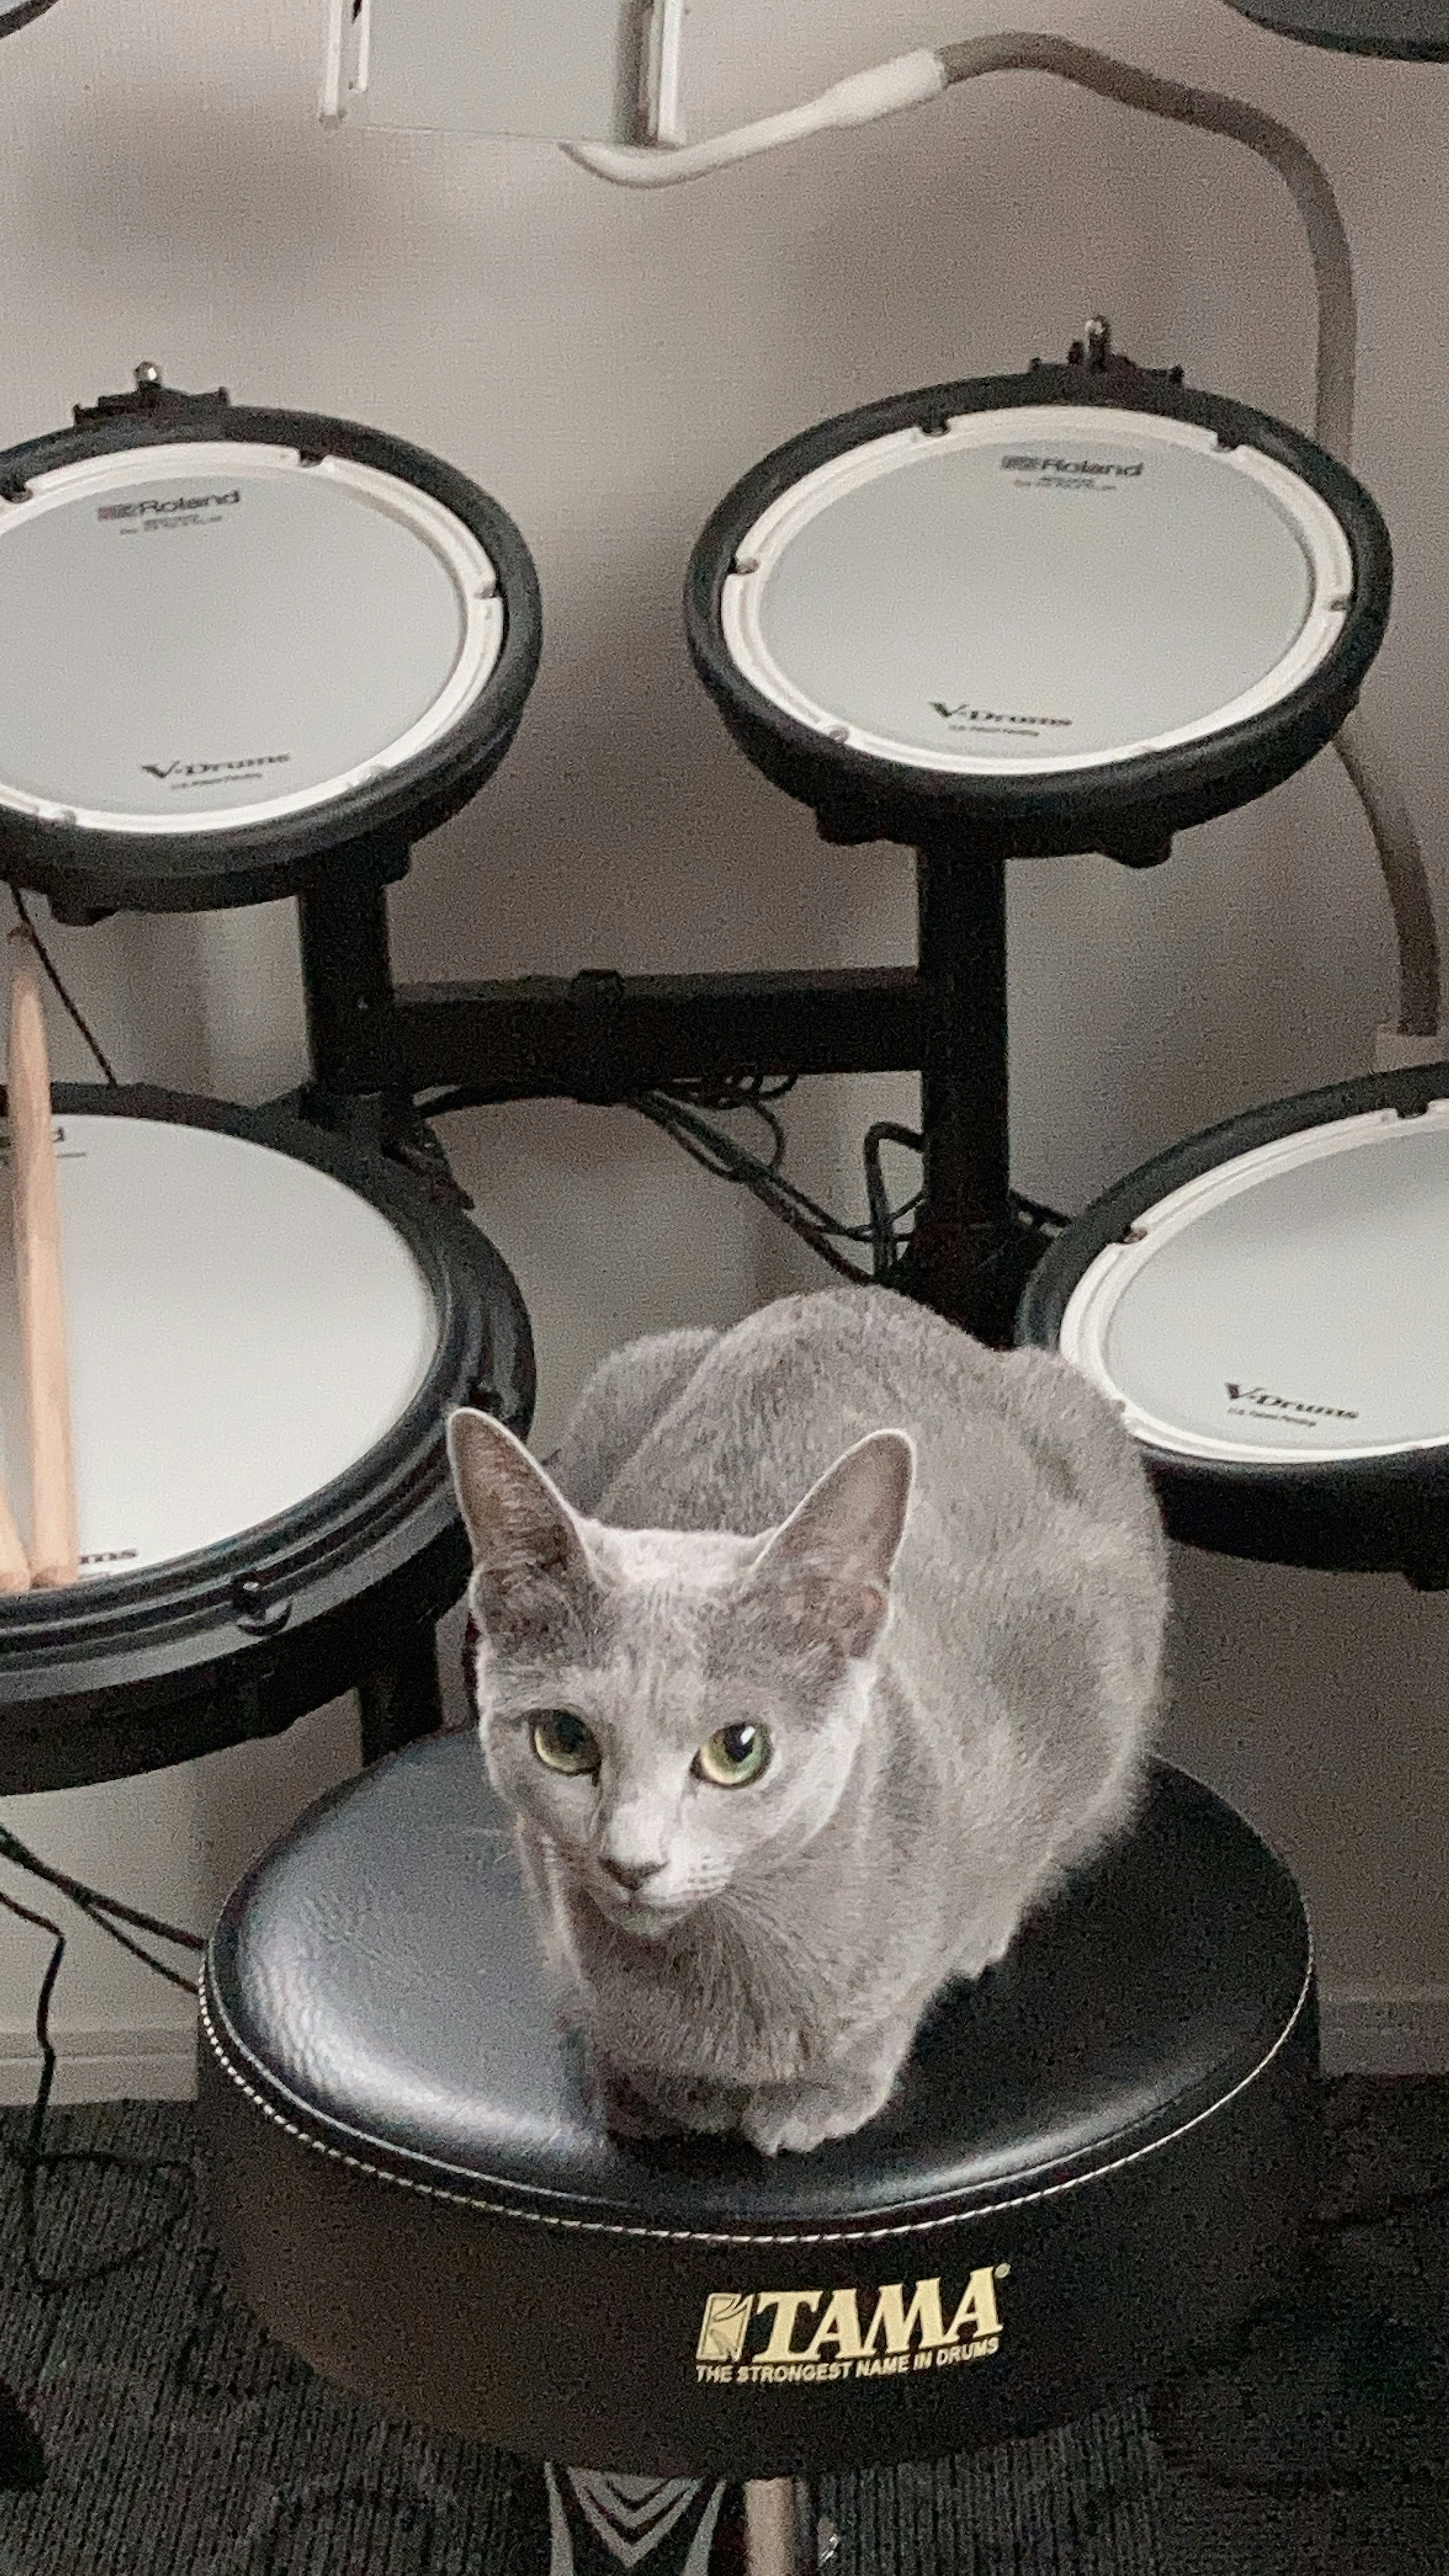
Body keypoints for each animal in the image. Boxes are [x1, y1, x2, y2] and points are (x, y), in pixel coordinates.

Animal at [446, 1288, 1165, 2153]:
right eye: (564, 1739)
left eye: (738, 1749)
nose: (631, 1862)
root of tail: (859, 1296)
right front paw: (658, 2091)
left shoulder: (1074, 1678)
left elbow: (914, 1977)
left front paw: (821, 2093)